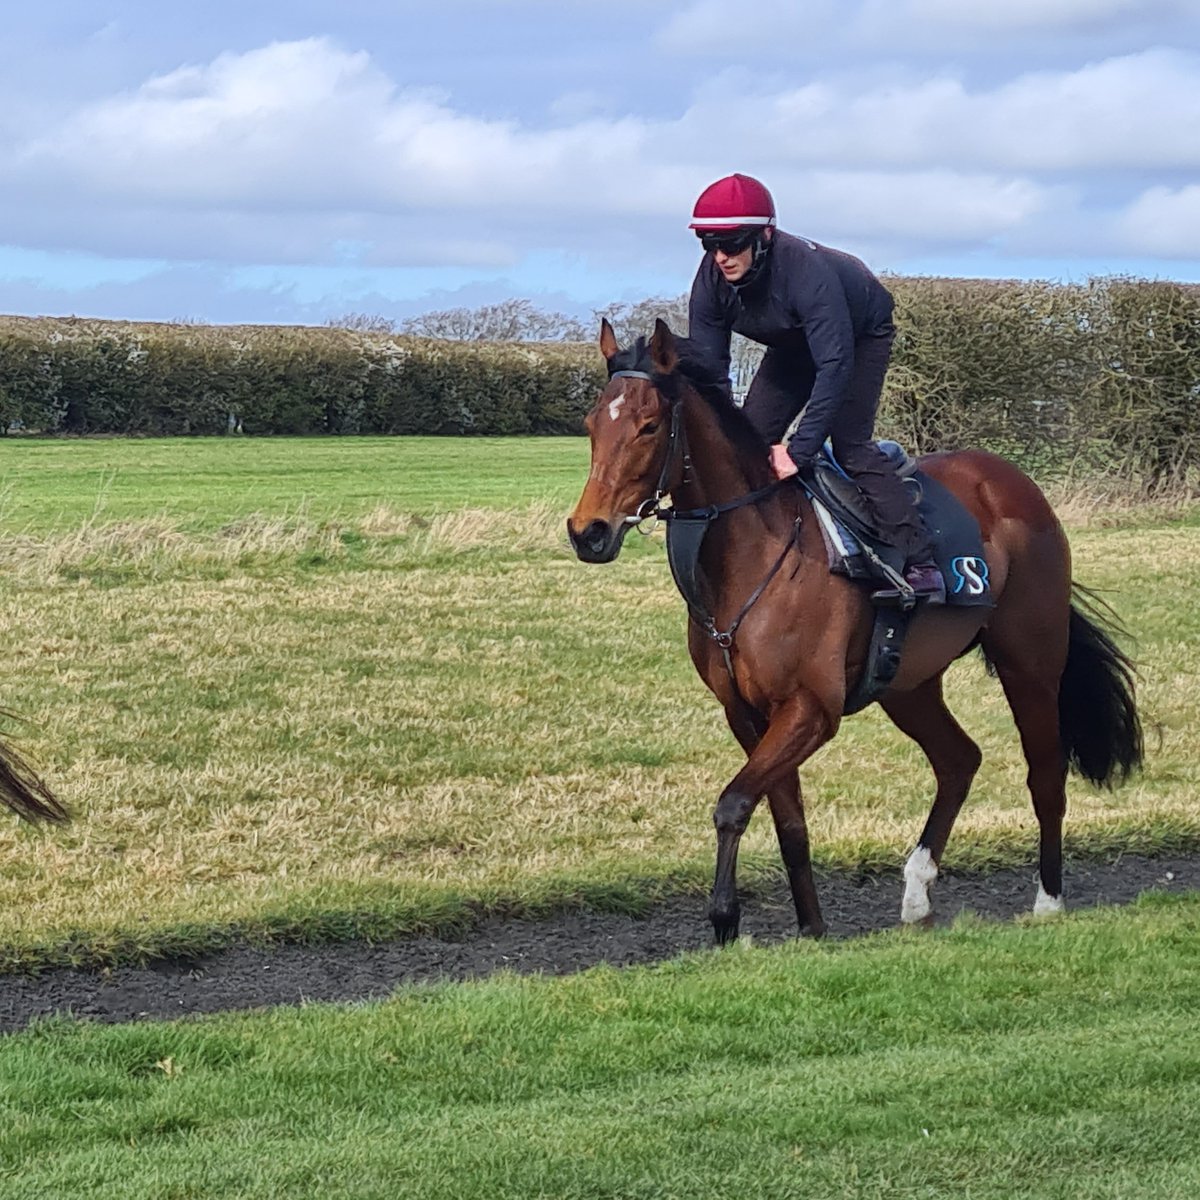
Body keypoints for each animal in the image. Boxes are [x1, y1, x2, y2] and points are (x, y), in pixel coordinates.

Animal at [568, 321, 1142, 945]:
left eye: (649, 426)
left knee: (1044, 773)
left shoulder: (812, 709)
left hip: (1029, 663)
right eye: (592, 424)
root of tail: (1014, 482)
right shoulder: (747, 713)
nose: (588, 532)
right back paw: (916, 894)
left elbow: (734, 802)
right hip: (908, 683)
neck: (753, 555)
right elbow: (787, 820)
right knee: (958, 760)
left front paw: (725, 921)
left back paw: (1048, 900)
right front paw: (812, 927)